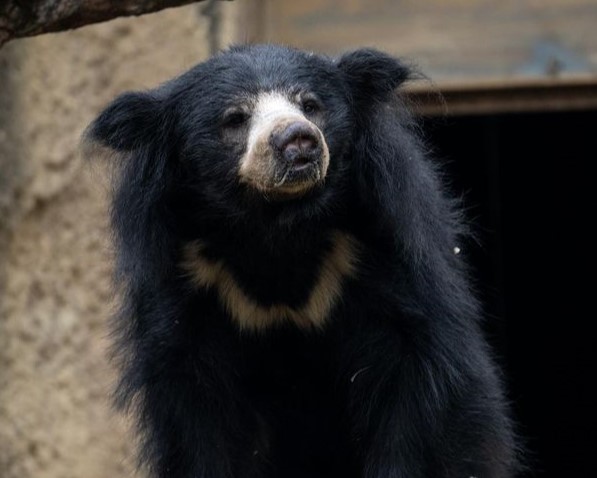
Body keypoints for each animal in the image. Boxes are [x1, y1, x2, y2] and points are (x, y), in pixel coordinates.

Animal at [85, 45, 516, 478]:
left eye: (310, 105)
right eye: (235, 118)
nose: (298, 139)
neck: (278, 226)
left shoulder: (383, 250)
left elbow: (412, 391)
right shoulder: (187, 282)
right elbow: (200, 419)